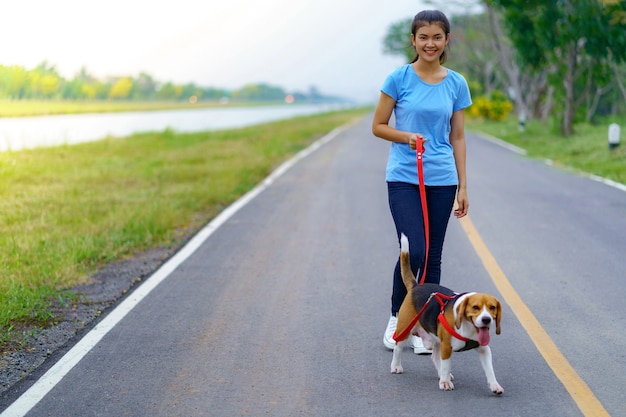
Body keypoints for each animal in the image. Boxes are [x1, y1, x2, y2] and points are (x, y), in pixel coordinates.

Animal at [390, 234, 502, 394]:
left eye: (492, 307)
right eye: (475, 307)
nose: (486, 319)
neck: (469, 328)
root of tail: (416, 286)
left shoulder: (484, 349)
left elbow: (490, 370)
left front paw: (494, 385)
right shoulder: (447, 347)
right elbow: (446, 364)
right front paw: (445, 382)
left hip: (437, 339)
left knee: (435, 357)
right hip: (405, 329)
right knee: (398, 348)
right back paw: (396, 366)